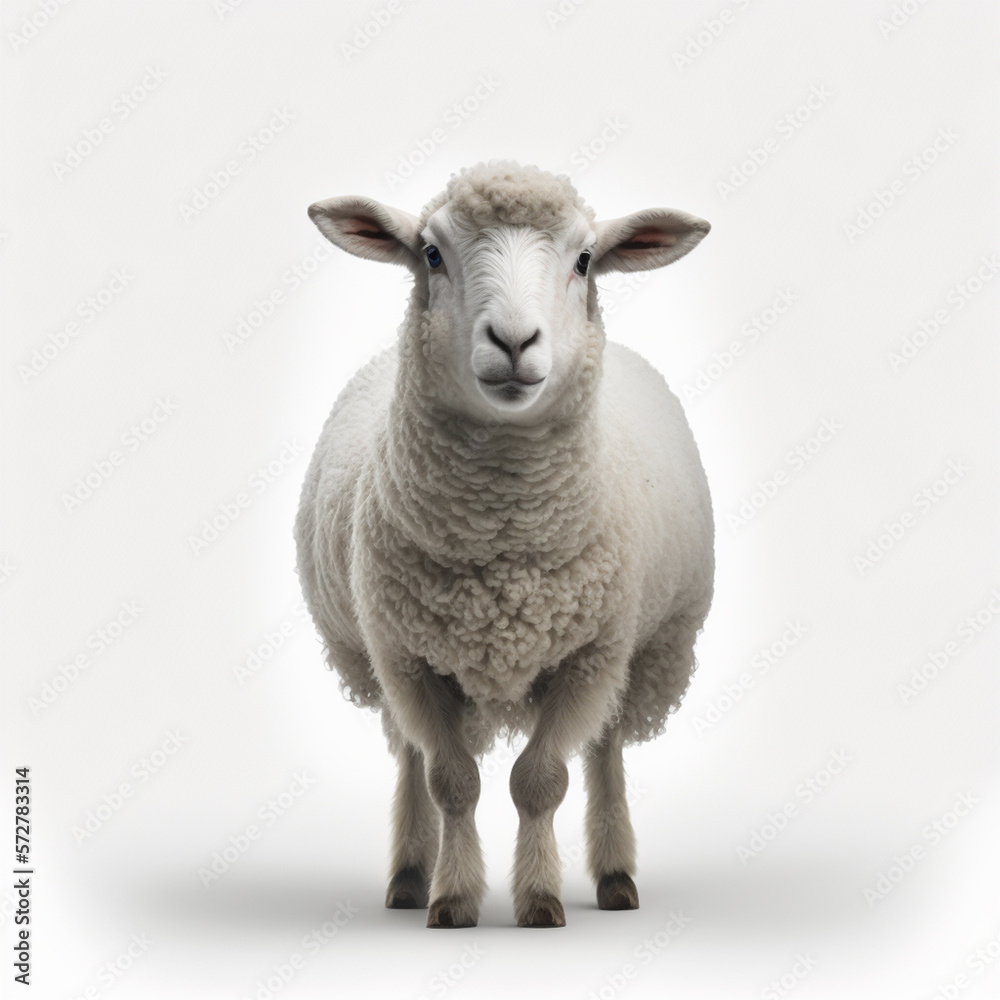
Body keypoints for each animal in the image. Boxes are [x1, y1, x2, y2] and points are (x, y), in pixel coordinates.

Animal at [295, 162, 714, 928]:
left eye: (585, 260)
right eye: (431, 254)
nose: (515, 341)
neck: (502, 547)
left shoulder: (590, 655)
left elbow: (540, 781)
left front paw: (541, 897)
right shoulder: (407, 659)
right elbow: (451, 780)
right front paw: (454, 896)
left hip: (641, 647)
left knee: (606, 750)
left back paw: (615, 877)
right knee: (408, 757)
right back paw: (409, 875)